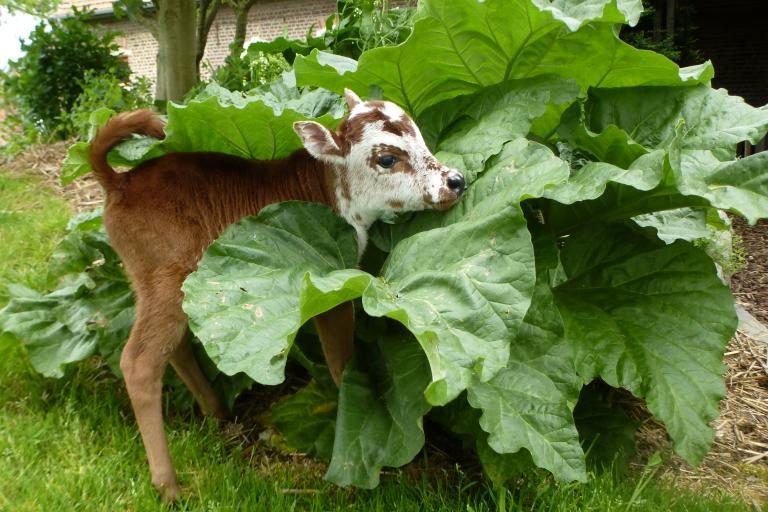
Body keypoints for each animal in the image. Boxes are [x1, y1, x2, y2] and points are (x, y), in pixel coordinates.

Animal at [88, 89, 464, 500]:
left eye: (422, 138)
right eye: (387, 159)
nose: (455, 180)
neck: (327, 188)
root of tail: (118, 182)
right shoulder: (329, 283)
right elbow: (339, 358)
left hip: (163, 282)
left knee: (174, 346)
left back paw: (217, 412)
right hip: (167, 274)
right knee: (139, 362)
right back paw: (169, 485)